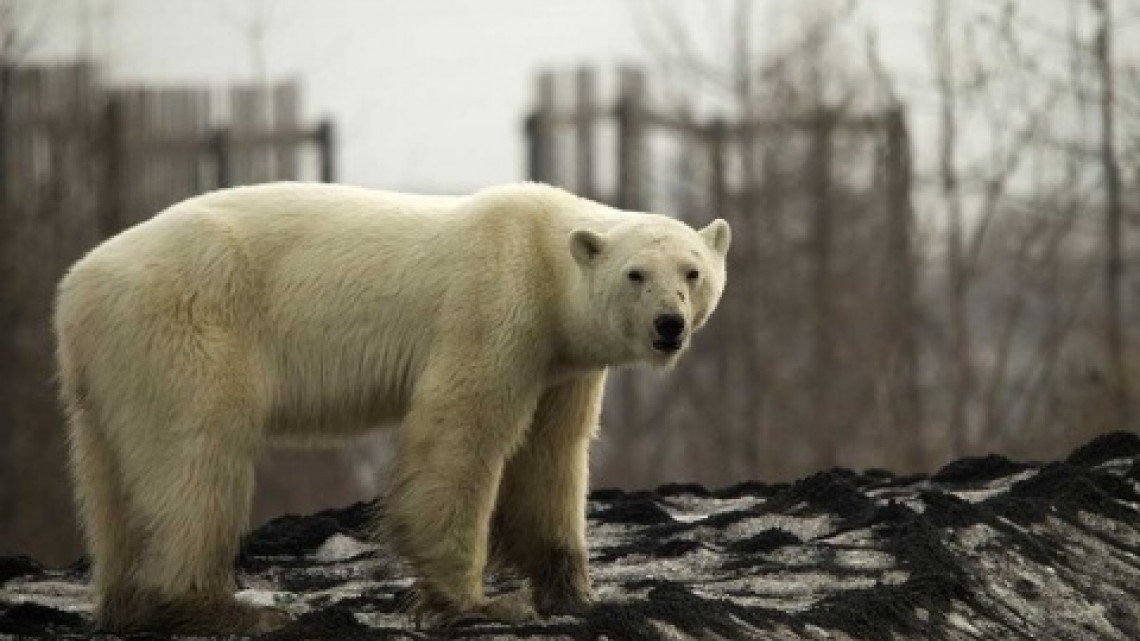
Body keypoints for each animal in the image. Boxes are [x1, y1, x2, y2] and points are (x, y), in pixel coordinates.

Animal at [53, 181, 731, 634]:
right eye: (636, 274)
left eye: (692, 271)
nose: (668, 326)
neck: (543, 253)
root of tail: (76, 286)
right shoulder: (495, 306)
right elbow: (460, 433)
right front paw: (479, 602)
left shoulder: (562, 362)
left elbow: (552, 456)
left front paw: (576, 594)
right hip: (187, 324)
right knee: (196, 458)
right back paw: (223, 608)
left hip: (109, 367)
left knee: (110, 479)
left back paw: (128, 605)